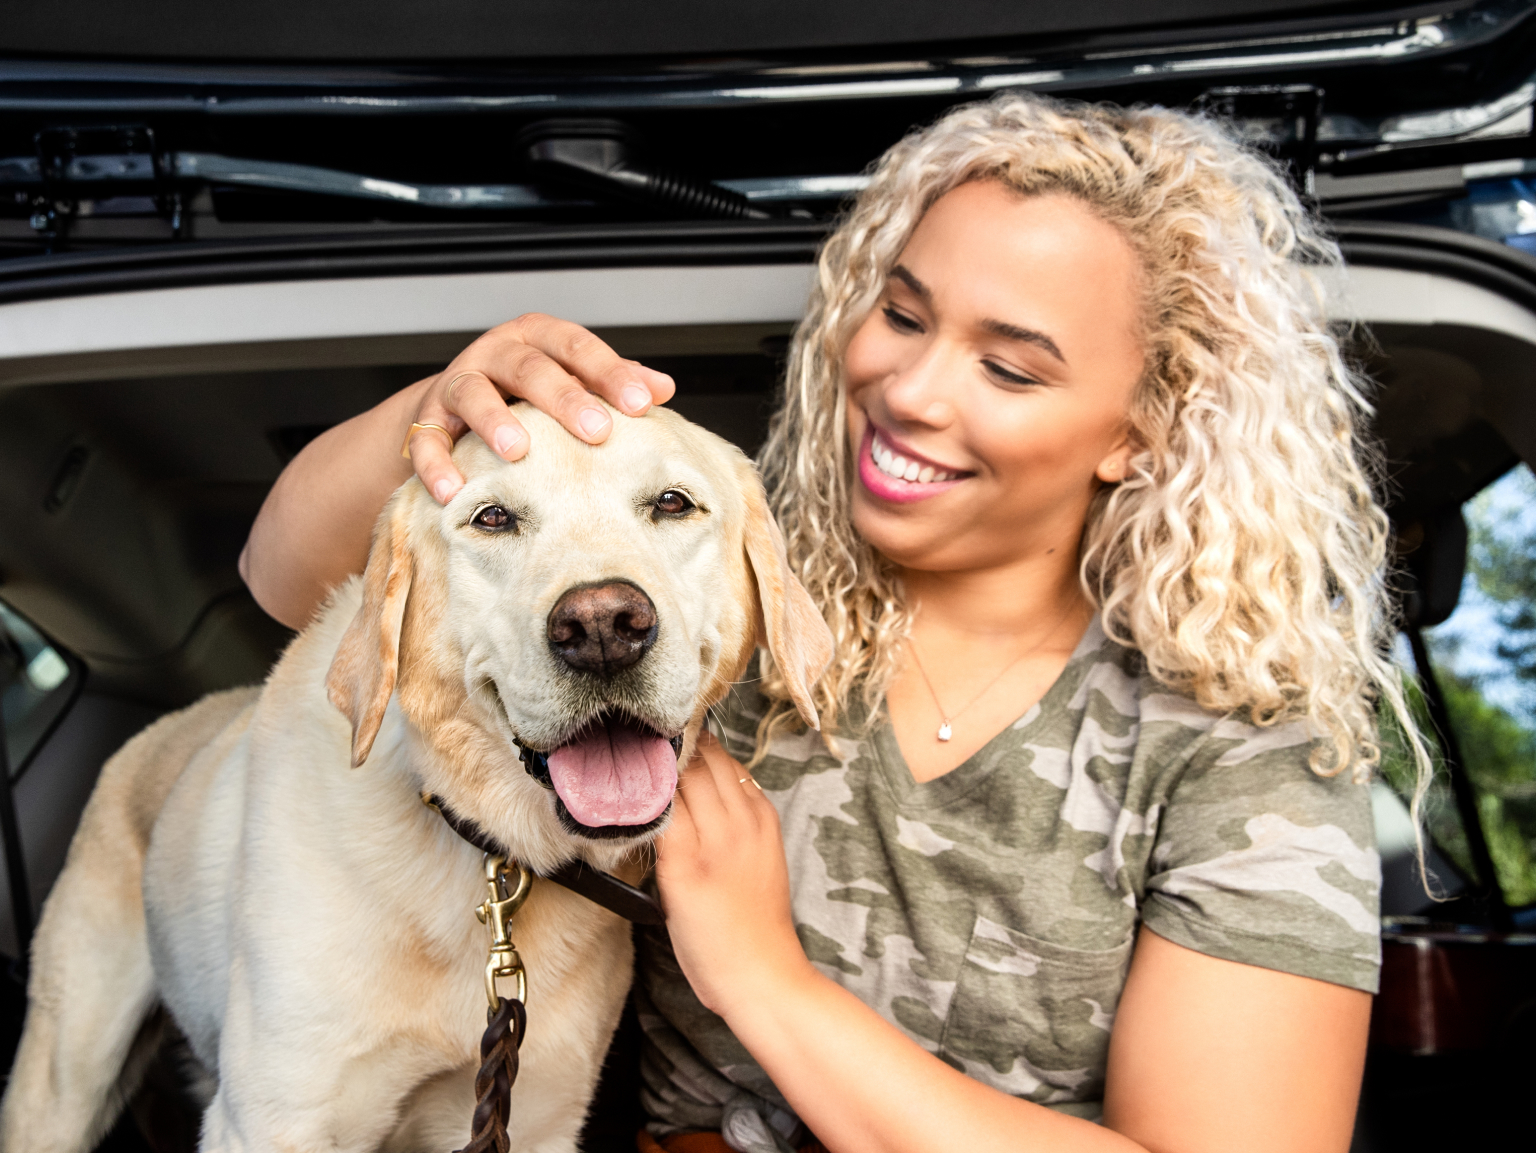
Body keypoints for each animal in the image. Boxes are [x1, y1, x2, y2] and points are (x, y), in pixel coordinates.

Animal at [3, 405, 829, 1153]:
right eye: (492, 518)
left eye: (672, 503)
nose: (602, 627)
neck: (485, 856)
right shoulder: (273, 1120)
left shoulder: (532, 1118)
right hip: (63, 1077)